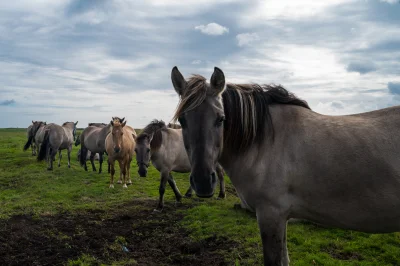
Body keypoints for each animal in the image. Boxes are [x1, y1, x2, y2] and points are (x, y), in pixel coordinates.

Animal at [170, 66, 400, 264]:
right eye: (182, 120)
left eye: (221, 119)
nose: (202, 182)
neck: (263, 141)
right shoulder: (282, 218)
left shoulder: (270, 215)